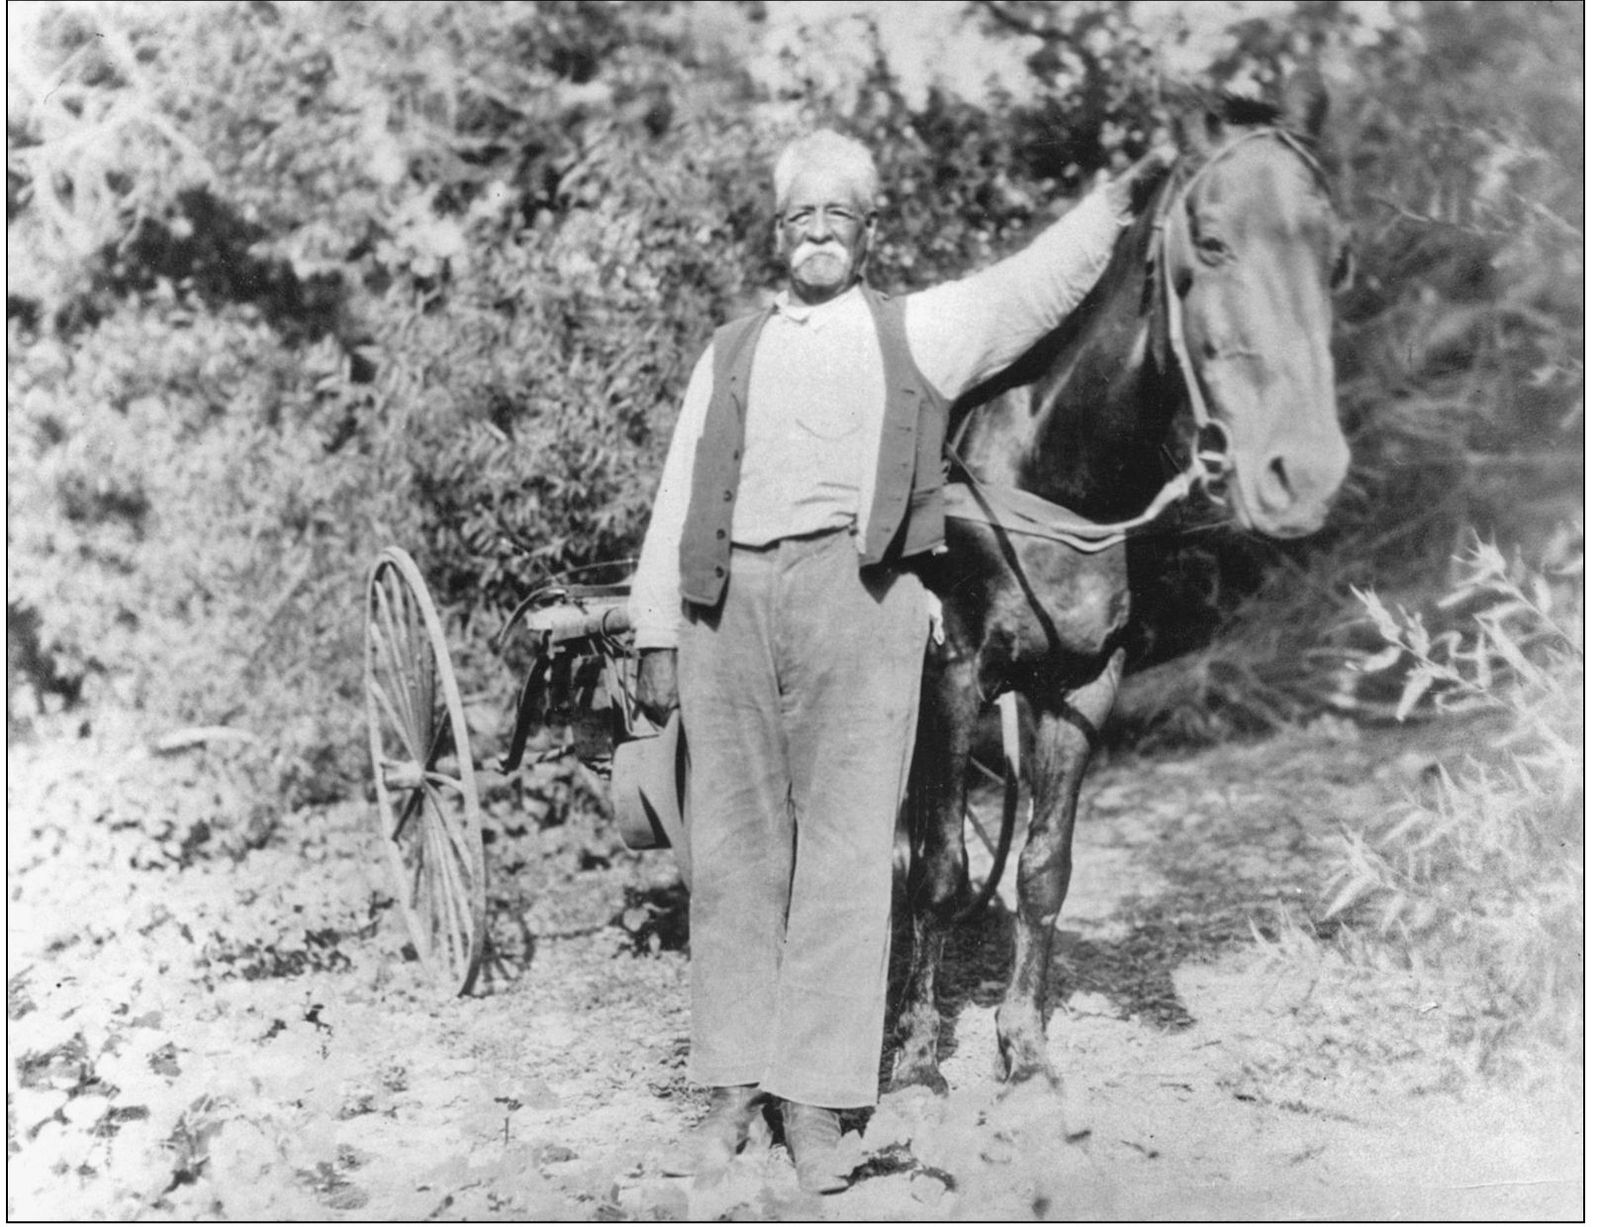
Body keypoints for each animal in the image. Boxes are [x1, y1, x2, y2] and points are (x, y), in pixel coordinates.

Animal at [896, 81, 1357, 1089]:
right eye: (1211, 241)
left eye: (1336, 258)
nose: (1301, 474)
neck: (1048, 484)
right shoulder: (951, 675)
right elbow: (941, 868)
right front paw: (914, 1053)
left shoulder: (1081, 684)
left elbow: (1043, 869)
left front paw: (1022, 1044)